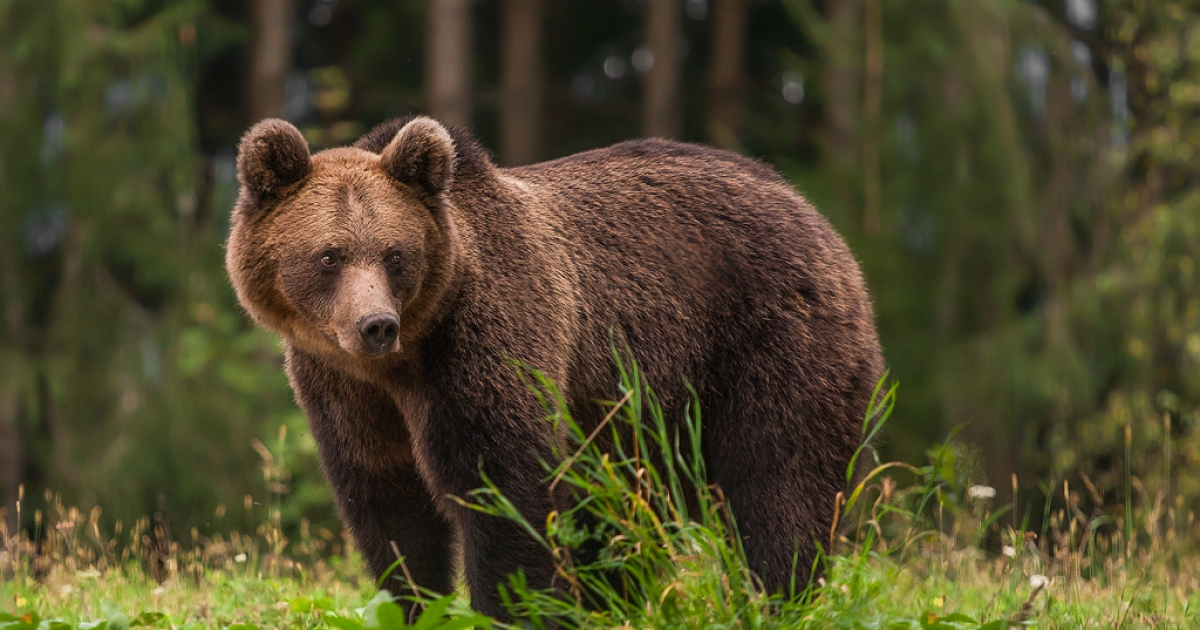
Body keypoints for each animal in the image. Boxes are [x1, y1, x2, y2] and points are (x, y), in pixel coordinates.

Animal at [223, 115, 883, 614]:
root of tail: (804, 204)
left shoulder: (485, 347)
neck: (403, 363)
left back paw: (777, 597)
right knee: (629, 513)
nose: (375, 325)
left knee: (778, 481)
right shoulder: (344, 395)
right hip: (646, 413)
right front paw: (414, 601)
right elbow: (389, 511)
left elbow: (503, 491)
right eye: (329, 255)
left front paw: (509, 607)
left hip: (767, 342)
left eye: (395, 253)